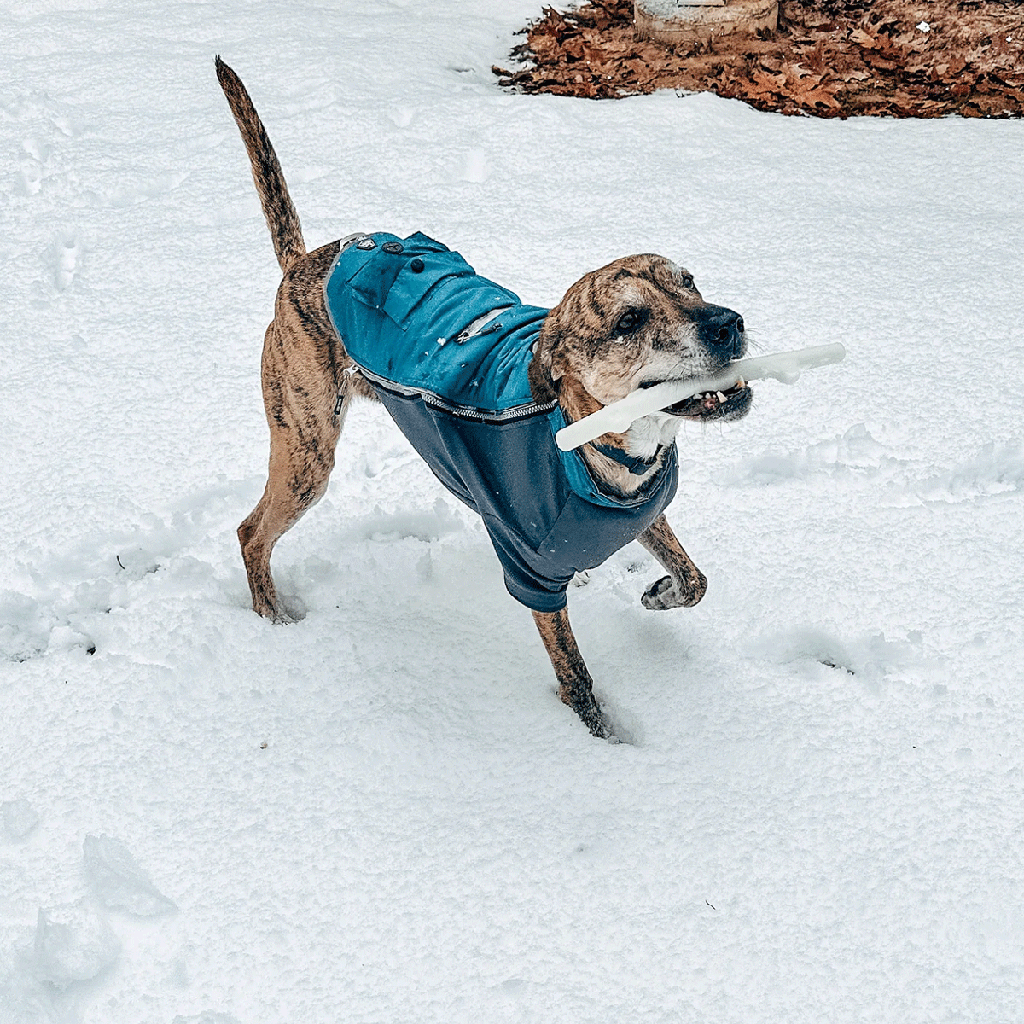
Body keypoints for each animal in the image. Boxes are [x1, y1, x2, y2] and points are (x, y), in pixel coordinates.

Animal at [216, 58, 749, 737]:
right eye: (629, 320)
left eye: (691, 282)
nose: (730, 322)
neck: (604, 452)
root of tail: (303, 265)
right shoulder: (531, 574)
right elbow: (576, 677)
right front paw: (601, 741)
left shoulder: (643, 513)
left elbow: (695, 578)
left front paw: (660, 592)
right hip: (307, 449)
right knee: (251, 532)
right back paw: (273, 619)